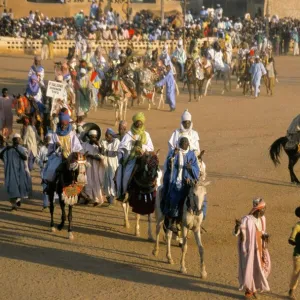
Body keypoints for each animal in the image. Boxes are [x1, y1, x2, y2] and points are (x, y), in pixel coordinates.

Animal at [152, 151, 209, 280]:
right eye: (194, 194)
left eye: (204, 193)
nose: (199, 211)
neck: (192, 208)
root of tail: (160, 187)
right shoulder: (184, 227)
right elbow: (184, 247)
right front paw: (182, 268)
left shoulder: (196, 228)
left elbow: (201, 248)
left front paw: (203, 272)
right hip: (160, 216)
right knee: (158, 230)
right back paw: (155, 251)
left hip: (169, 220)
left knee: (168, 235)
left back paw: (169, 258)